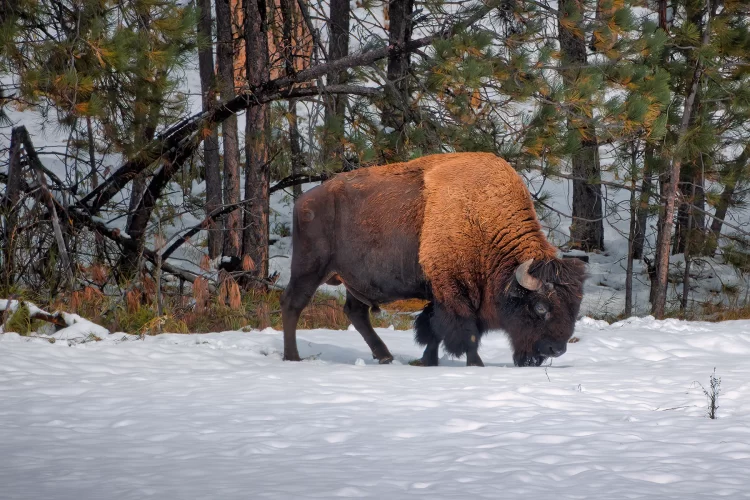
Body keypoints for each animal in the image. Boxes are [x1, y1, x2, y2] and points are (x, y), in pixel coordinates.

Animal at [280, 152, 586, 367]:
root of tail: (304, 200)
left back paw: (385, 356)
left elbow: (433, 330)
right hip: (309, 268)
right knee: (293, 304)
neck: (482, 219)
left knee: (356, 312)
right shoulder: (452, 291)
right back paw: (292, 357)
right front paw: (476, 363)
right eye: (540, 307)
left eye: (574, 307)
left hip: (356, 280)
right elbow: (464, 331)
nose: (556, 349)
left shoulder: (440, 294)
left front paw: (428, 360)